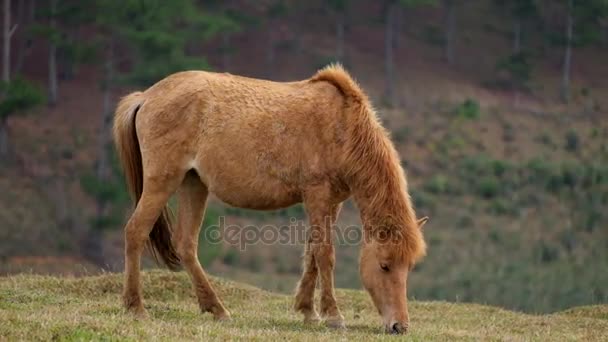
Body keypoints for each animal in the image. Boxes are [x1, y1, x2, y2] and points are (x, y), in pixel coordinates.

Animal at [114, 63, 428, 334]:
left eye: (409, 266)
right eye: (384, 265)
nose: (399, 326)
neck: (342, 125)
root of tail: (146, 97)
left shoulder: (332, 202)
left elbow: (312, 254)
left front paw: (308, 311)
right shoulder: (317, 195)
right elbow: (324, 254)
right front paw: (333, 316)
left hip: (194, 184)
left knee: (185, 244)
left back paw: (216, 309)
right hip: (162, 181)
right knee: (135, 232)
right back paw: (136, 307)